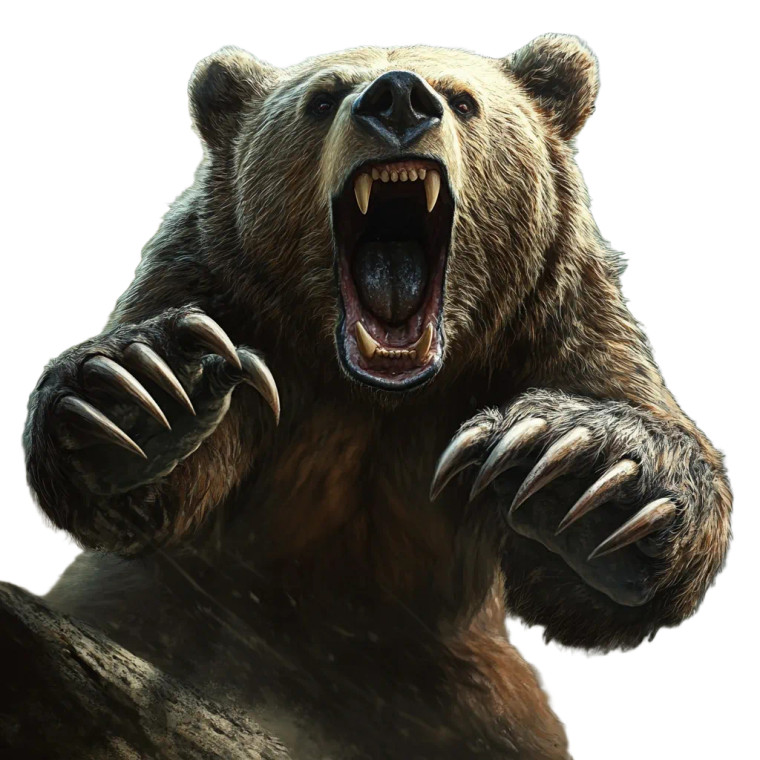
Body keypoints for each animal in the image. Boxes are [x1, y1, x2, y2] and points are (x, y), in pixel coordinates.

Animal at [21, 34, 731, 759]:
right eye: (323, 97)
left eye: (463, 99)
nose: (398, 98)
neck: (378, 395)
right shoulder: (214, 285)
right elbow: (172, 479)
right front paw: (146, 390)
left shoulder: (557, 317)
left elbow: (602, 529)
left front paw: (579, 471)